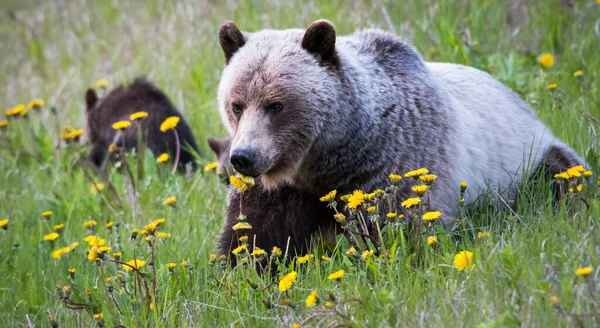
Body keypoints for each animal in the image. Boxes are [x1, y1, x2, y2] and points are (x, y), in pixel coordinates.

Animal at [216, 19, 584, 254]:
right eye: (236, 105)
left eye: (275, 105)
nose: (243, 157)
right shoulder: (283, 189)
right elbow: (254, 233)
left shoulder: (396, 162)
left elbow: (404, 224)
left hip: (528, 158)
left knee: (562, 177)